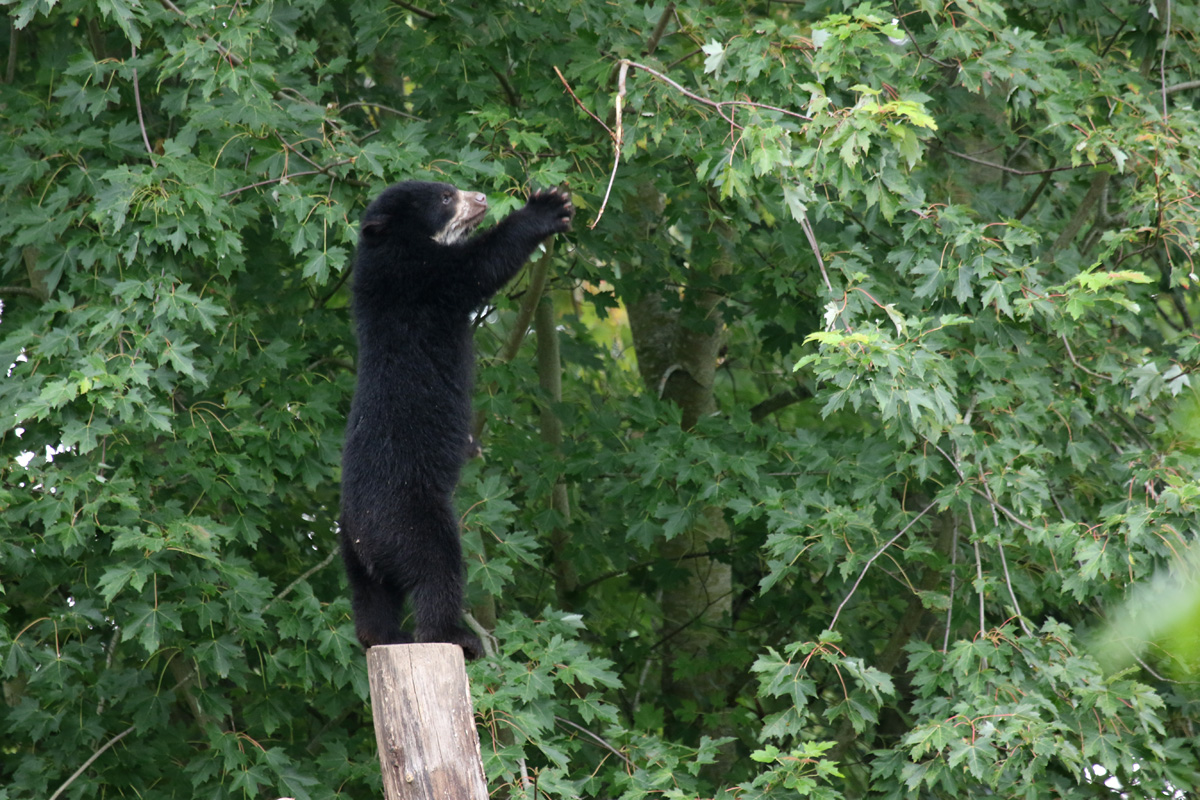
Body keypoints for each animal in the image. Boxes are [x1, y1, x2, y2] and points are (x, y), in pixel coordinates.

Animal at [339, 180, 574, 659]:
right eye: (445, 198)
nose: (482, 198)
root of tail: (363, 535)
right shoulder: (423, 280)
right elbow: (479, 267)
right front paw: (548, 207)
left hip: (355, 561)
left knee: (372, 600)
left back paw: (383, 638)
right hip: (412, 520)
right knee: (438, 570)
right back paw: (457, 636)